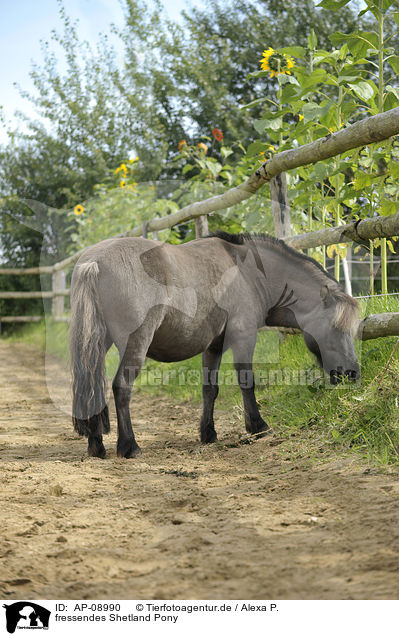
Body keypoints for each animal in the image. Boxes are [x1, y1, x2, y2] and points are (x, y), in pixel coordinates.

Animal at [70, 231, 360, 460]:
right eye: (336, 328)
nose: (352, 374)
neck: (248, 272)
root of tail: (94, 262)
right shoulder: (244, 337)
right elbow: (247, 381)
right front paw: (257, 426)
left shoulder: (213, 346)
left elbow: (210, 389)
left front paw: (208, 433)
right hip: (135, 344)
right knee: (121, 388)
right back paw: (129, 446)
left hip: (97, 344)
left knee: (90, 389)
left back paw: (96, 446)